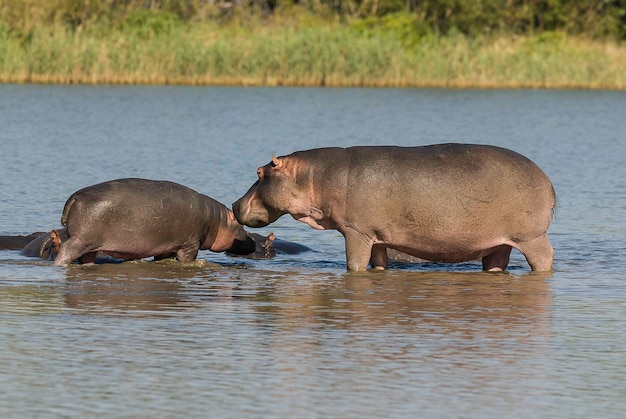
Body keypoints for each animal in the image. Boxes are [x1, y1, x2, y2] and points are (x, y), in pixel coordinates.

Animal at [54, 178, 256, 266]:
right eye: (242, 227)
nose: (253, 241)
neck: (217, 220)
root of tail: (74, 198)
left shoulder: (167, 245)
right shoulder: (190, 243)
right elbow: (187, 259)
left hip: (89, 245)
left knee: (86, 258)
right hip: (80, 240)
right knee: (66, 251)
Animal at [232, 144, 552, 274]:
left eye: (260, 172)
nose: (234, 204)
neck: (314, 176)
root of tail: (546, 178)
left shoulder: (357, 231)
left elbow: (354, 263)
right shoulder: (377, 237)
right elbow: (378, 263)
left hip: (532, 237)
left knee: (544, 258)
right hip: (498, 244)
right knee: (496, 262)